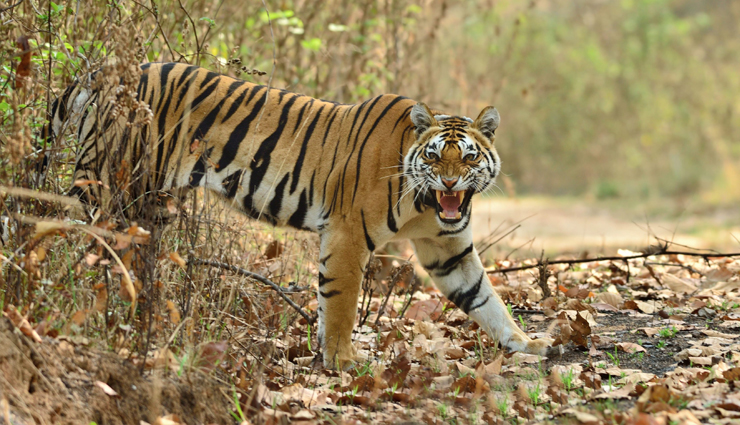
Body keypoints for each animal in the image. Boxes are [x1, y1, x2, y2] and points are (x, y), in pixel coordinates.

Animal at [41, 62, 553, 369]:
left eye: (467, 158)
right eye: (433, 157)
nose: (448, 184)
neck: (425, 203)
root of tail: (104, 70)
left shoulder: (449, 249)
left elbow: (486, 300)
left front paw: (527, 343)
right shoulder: (348, 234)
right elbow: (342, 303)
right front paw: (344, 361)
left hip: (148, 204)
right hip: (105, 184)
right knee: (72, 235)